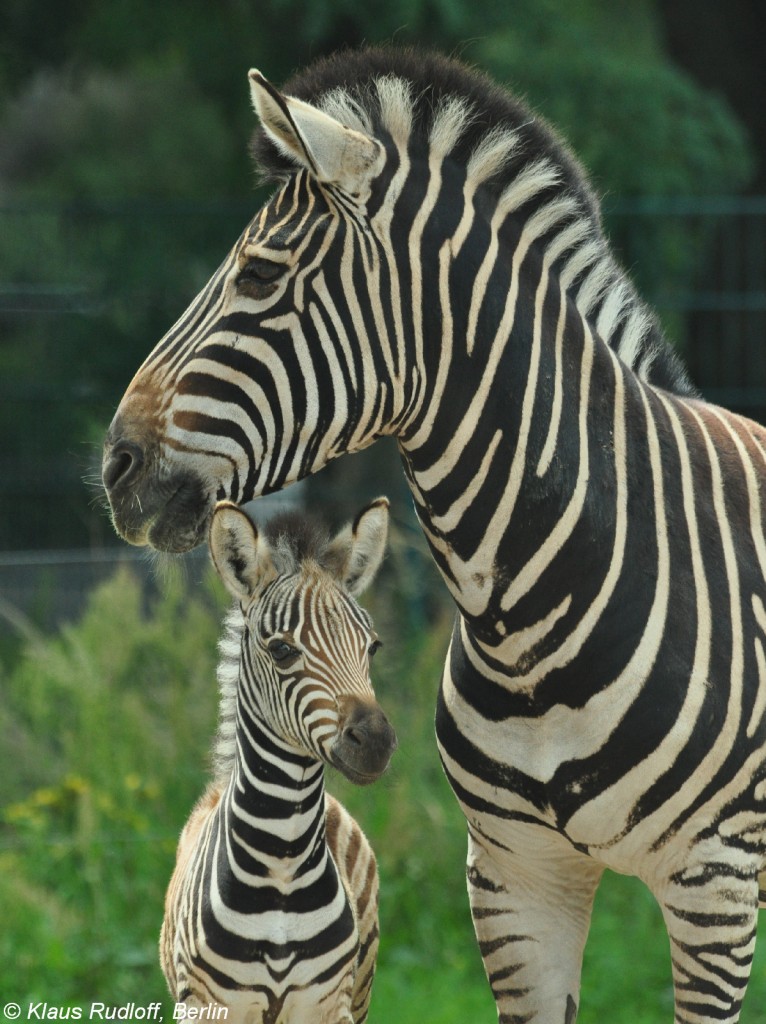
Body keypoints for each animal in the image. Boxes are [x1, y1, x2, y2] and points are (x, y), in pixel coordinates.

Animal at [160, 497, 395, 1024]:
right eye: (283, 650)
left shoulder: (327, 1005)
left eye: (372, 647)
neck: (282, 861)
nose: (375, 742)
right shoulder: (209, 1005)